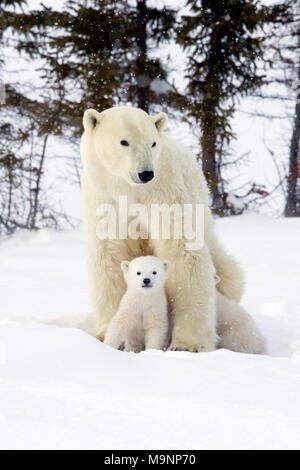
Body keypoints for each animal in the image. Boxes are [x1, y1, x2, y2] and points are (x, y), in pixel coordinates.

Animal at [81, 106, 264, 352]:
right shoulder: (104, 200)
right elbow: (109, 255)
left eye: (153, 143)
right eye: (124, 141)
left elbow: (181, 248)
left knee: (229, 276)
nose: (146, 173)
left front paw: (187, 345)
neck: (128, 190)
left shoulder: (164, 192)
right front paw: (107, 336)